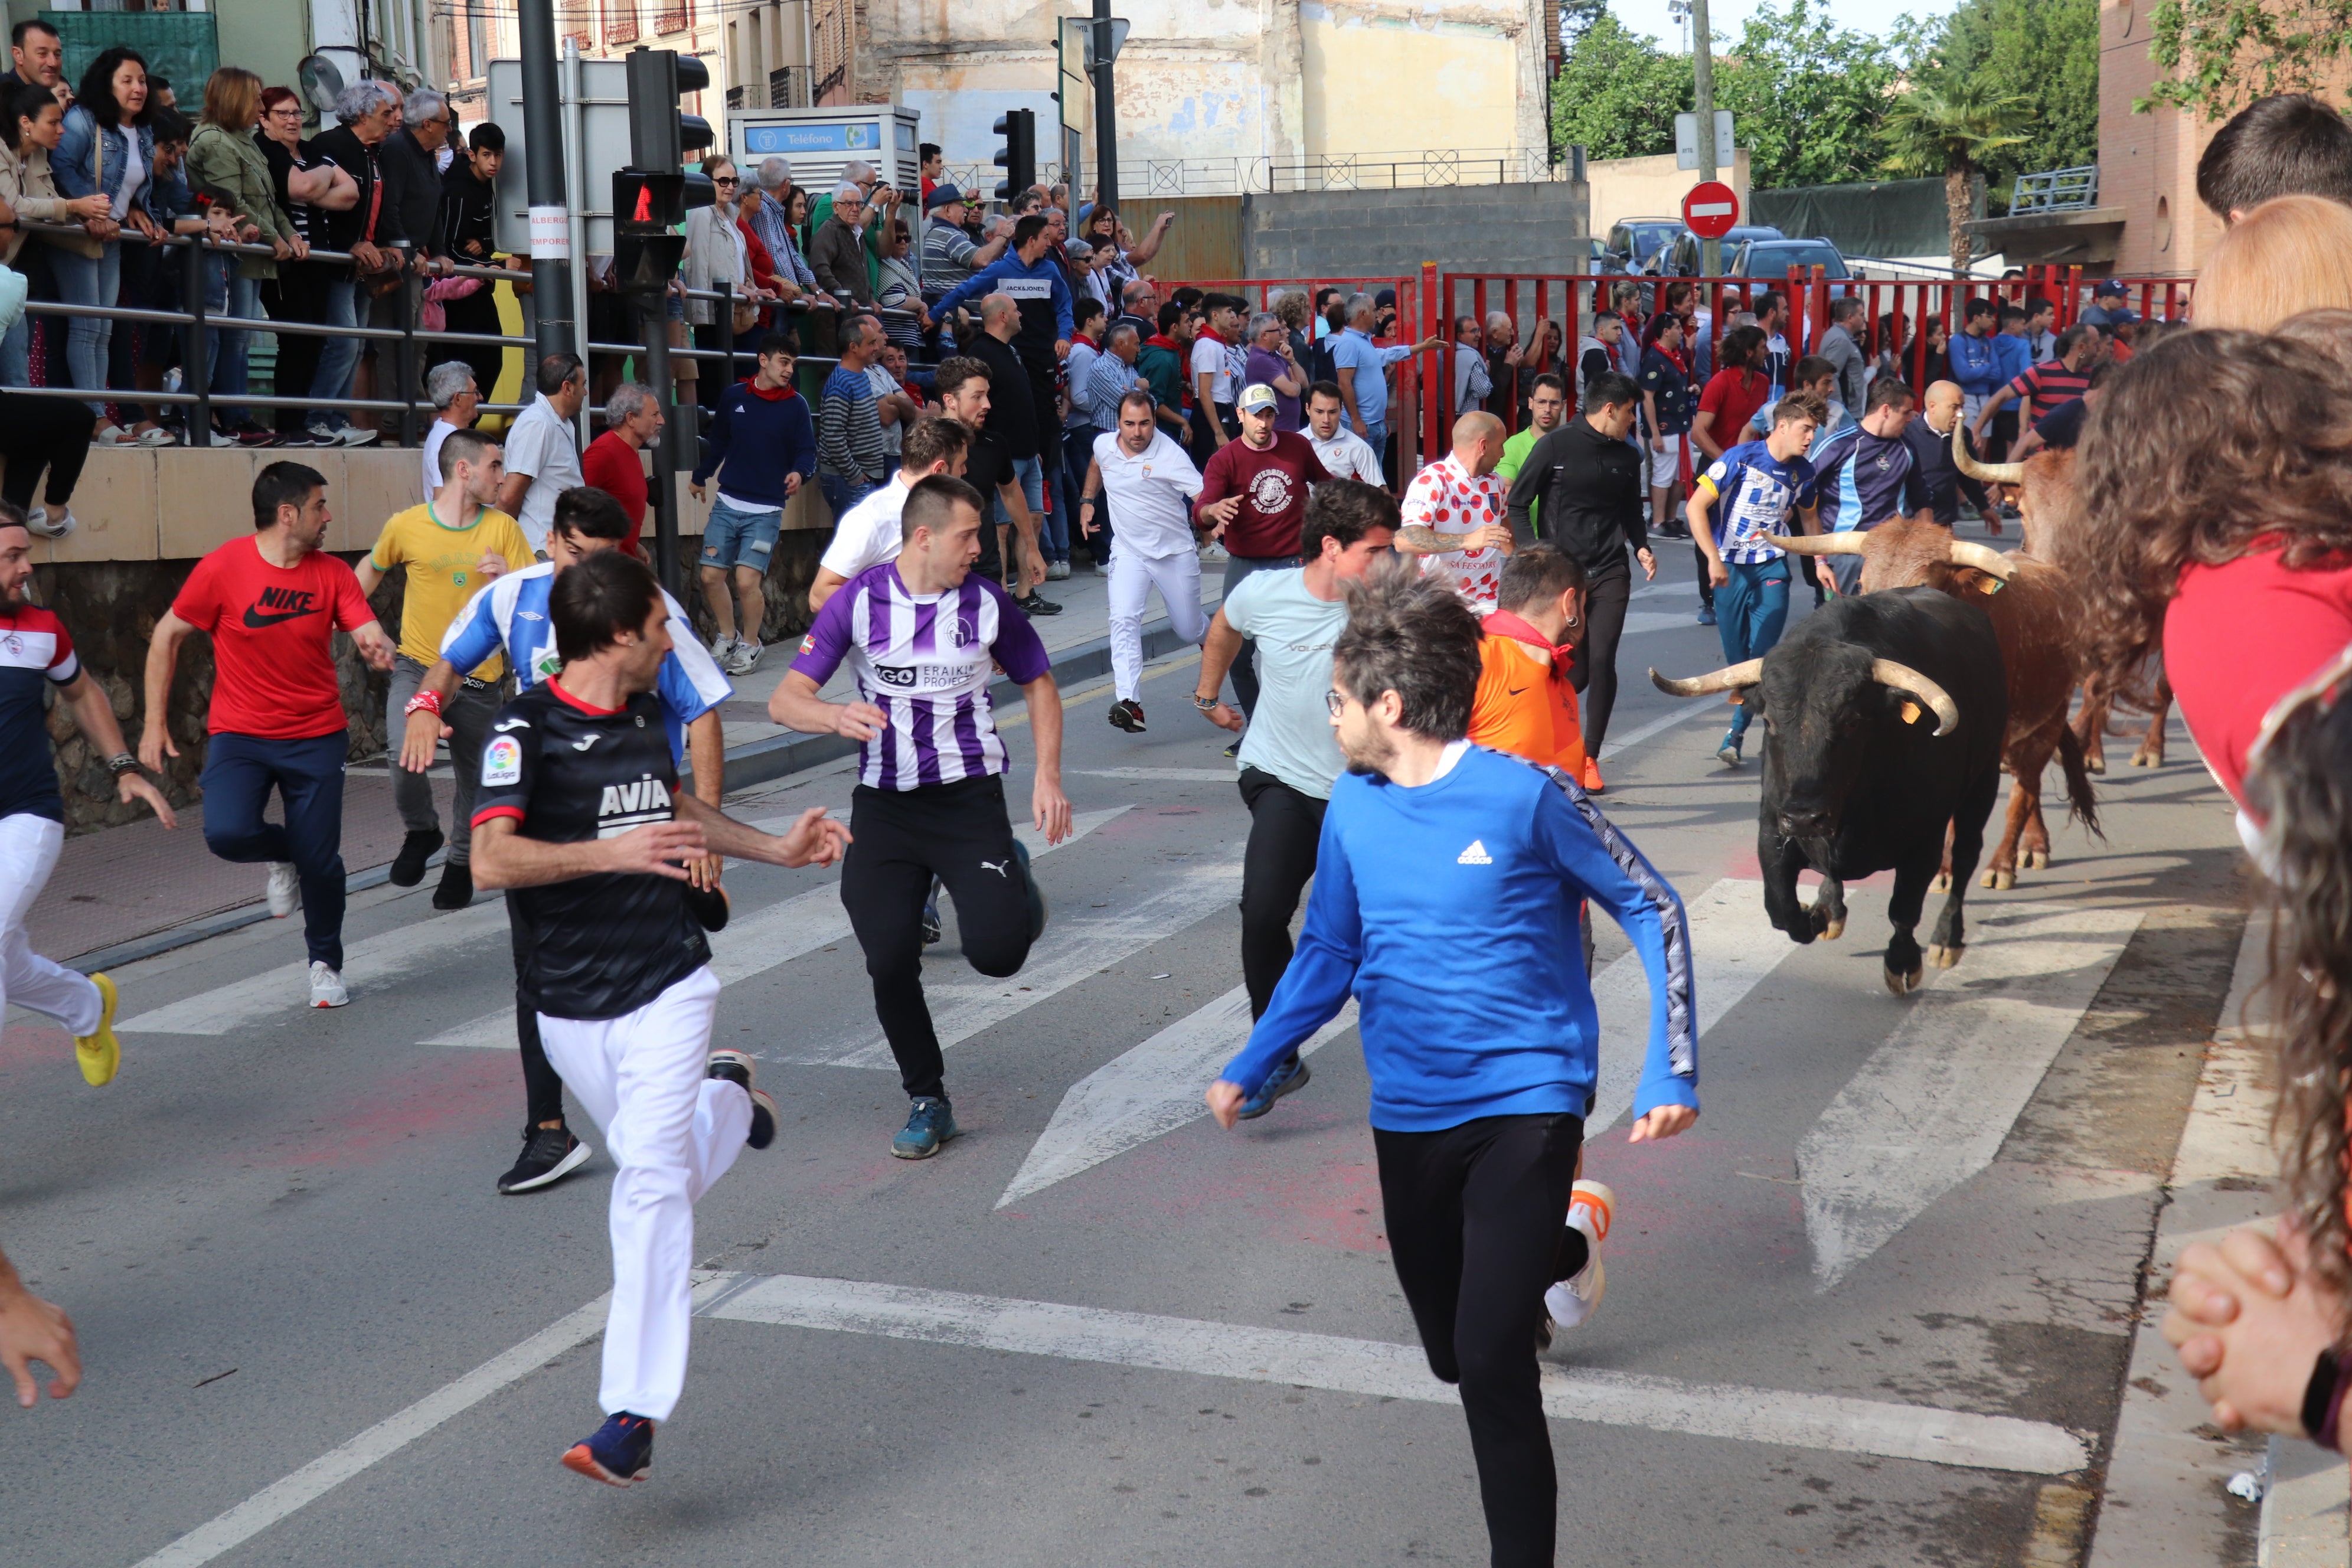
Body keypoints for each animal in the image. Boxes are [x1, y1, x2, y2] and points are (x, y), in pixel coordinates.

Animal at [1655, 583, 2004, 1001]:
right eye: (1768, 720)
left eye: (1853, 722)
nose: (1805, 816)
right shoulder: (1772, 831)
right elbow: (1781, 910)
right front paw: (1815, 916)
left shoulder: (1924, 844)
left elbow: (1904, 912)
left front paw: (1902, 965)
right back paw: (1830, 908)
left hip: (1985, 779)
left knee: (1966, 856)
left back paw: (1947, 940)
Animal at [1768, 522, 2107, 888]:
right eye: (1862, 584)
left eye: (1924, 584)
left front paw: (1947, 869)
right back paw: (2033, 844)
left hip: (2050, 719)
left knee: (2025, 790)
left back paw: (2006, 862)